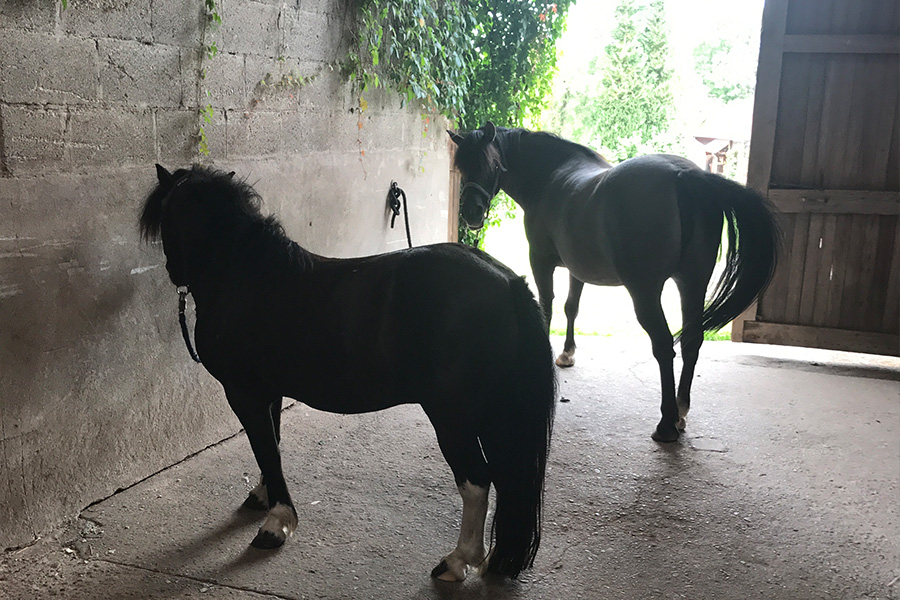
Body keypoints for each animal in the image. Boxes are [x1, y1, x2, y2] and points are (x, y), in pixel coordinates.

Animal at [139, 164, 556, 581]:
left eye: (165, 217)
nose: (174, 270)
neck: (242, 275)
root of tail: (509, 282)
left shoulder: (244, 393)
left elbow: (266, 449)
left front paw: (277, 524)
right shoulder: (269, 392)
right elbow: (271, 445)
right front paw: (262, 496)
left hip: (453, 417)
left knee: (476, 482)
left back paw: (458, 561)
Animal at [448, 122, 779, 443]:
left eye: (491, 164)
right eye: (461, 166)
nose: (471, 214)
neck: (550, 177)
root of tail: (684, 176)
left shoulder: (540, 261)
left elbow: (548, 306)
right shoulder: (577, 270)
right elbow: (571, 307)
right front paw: (567, 353)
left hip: (645, 291)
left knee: (664, 346)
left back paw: (666, 424)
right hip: (692, 282)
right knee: (691, 341)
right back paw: (681, 411)